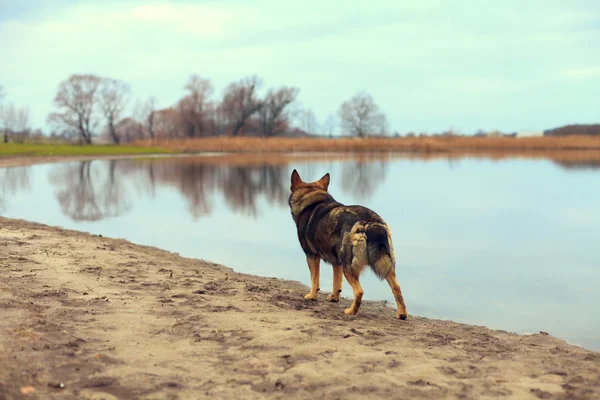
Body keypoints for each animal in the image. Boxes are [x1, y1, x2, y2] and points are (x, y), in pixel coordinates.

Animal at [286, 169, 408, 318]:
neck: (312, 199)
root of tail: (371, 223)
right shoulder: (336, 262)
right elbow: (336, 283)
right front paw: (334, 298)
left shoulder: (312, 256)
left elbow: (315, 280)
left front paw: (312, 296)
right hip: (385, 265)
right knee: (397, 288)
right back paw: (401, 314)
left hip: (348, 267)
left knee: (359, 291)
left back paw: (351, 311)